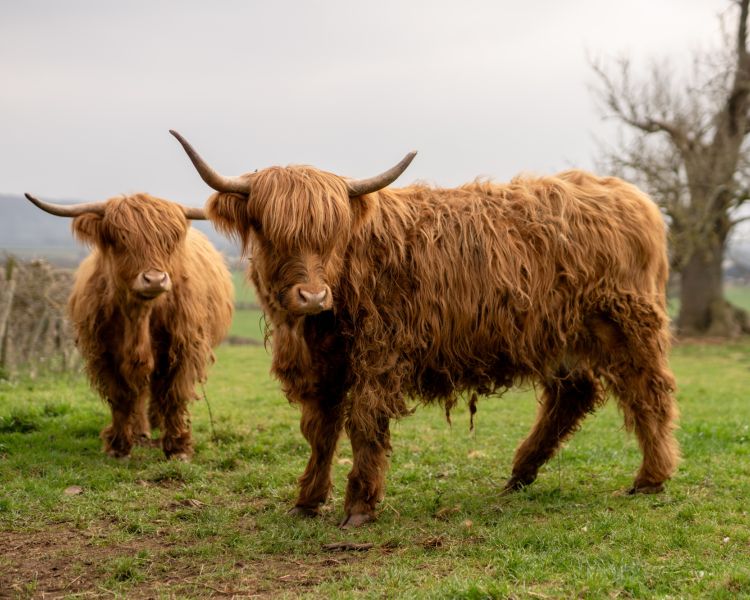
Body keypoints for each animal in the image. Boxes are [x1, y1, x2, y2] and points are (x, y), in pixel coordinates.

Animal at [25, 192, 234, 461]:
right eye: (121, 240)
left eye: (168, 241)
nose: (154, 279)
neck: (139, 317)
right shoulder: (104, 354)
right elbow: (122, 396)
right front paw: (119, 446)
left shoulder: (184, 348)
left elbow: (174, 394)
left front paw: (178, 448)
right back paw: (142, 430)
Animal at [170, 130, 679, 527]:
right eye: (269, 230)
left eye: (331, 235)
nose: (312, 296)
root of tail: (630, 195)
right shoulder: (321, 364)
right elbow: (321, 430)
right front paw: (307, 500)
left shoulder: (379, 353)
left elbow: (364, 423)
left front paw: (359, 506)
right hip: (561, 334)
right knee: (572, 394)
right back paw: (520, 473)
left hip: (626, 322)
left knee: (647, 391)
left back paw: (650, 479)